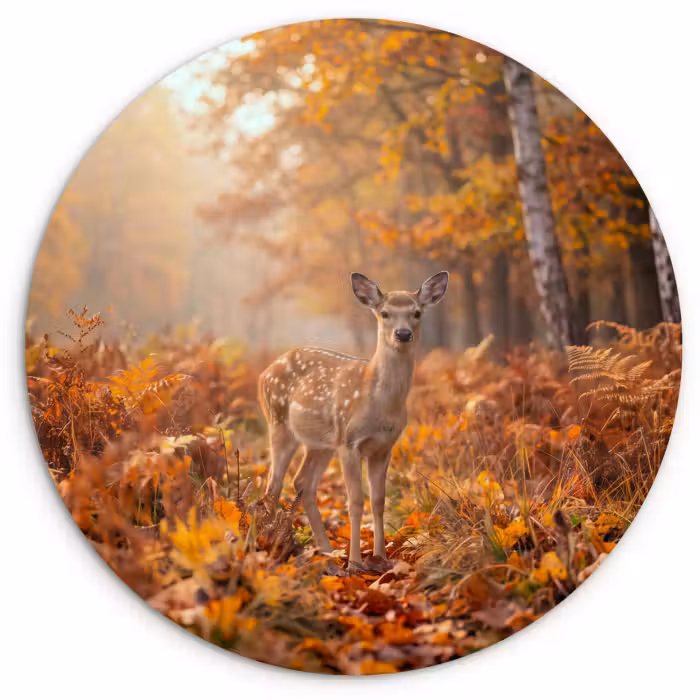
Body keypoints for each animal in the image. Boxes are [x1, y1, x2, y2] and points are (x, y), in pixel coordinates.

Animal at [257, 271, 449, 571]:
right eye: (384, 313)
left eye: (417, 312)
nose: (403, 333)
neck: (380, 404)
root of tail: (264, 373)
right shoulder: (349, 442)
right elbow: (356, 501)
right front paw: (356, 563)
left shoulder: (383, 447)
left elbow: (379, 501)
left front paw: (381, 557)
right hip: (279, 423)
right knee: (273, 486)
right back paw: (272, 547)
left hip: (321, 443)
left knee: (302, 482)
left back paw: (325, 551)